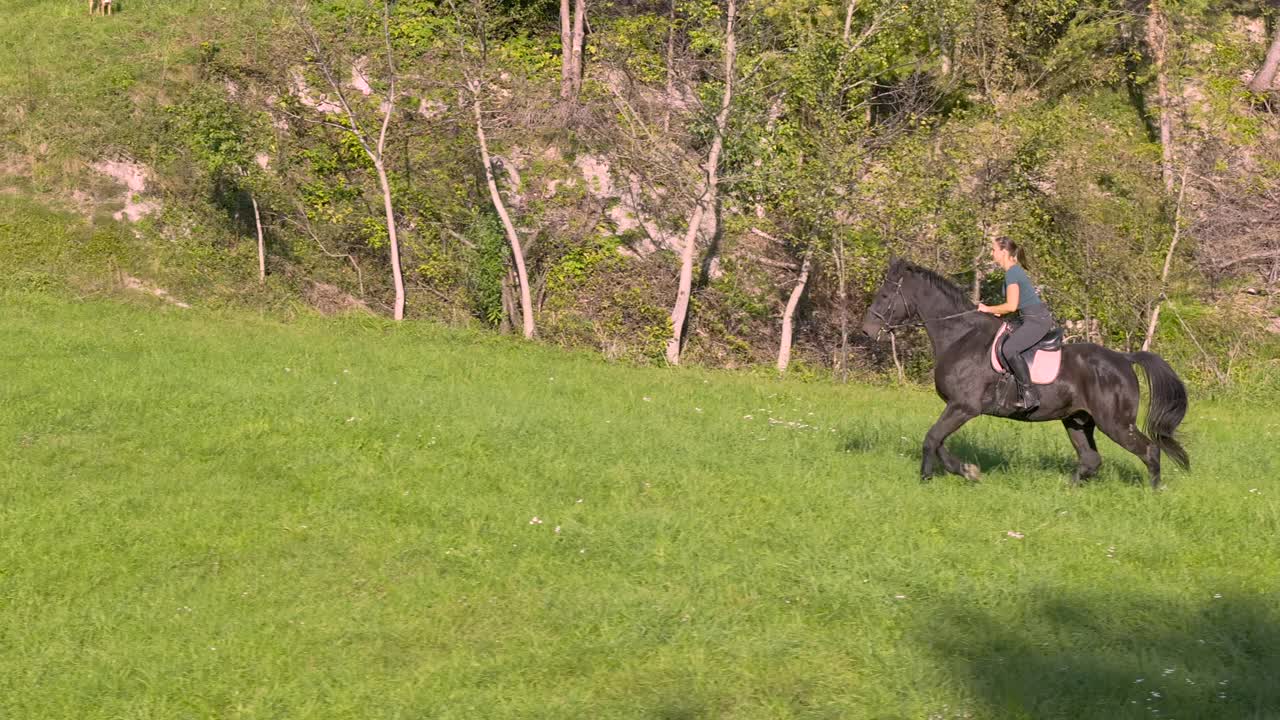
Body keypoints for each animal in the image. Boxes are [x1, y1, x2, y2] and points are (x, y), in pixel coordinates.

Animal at [860, 257, 1187, 486]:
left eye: (886, 295)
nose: (866, 331)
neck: (960, 335)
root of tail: (1124, 359)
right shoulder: (958, 407)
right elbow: (938, 441)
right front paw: (966, 470)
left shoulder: (963, 406)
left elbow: (931, 438)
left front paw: (932, 476)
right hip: (1077, 420)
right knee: (1091, 459)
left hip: (1115, 423)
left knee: (1149, 451)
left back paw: (1154, 493)